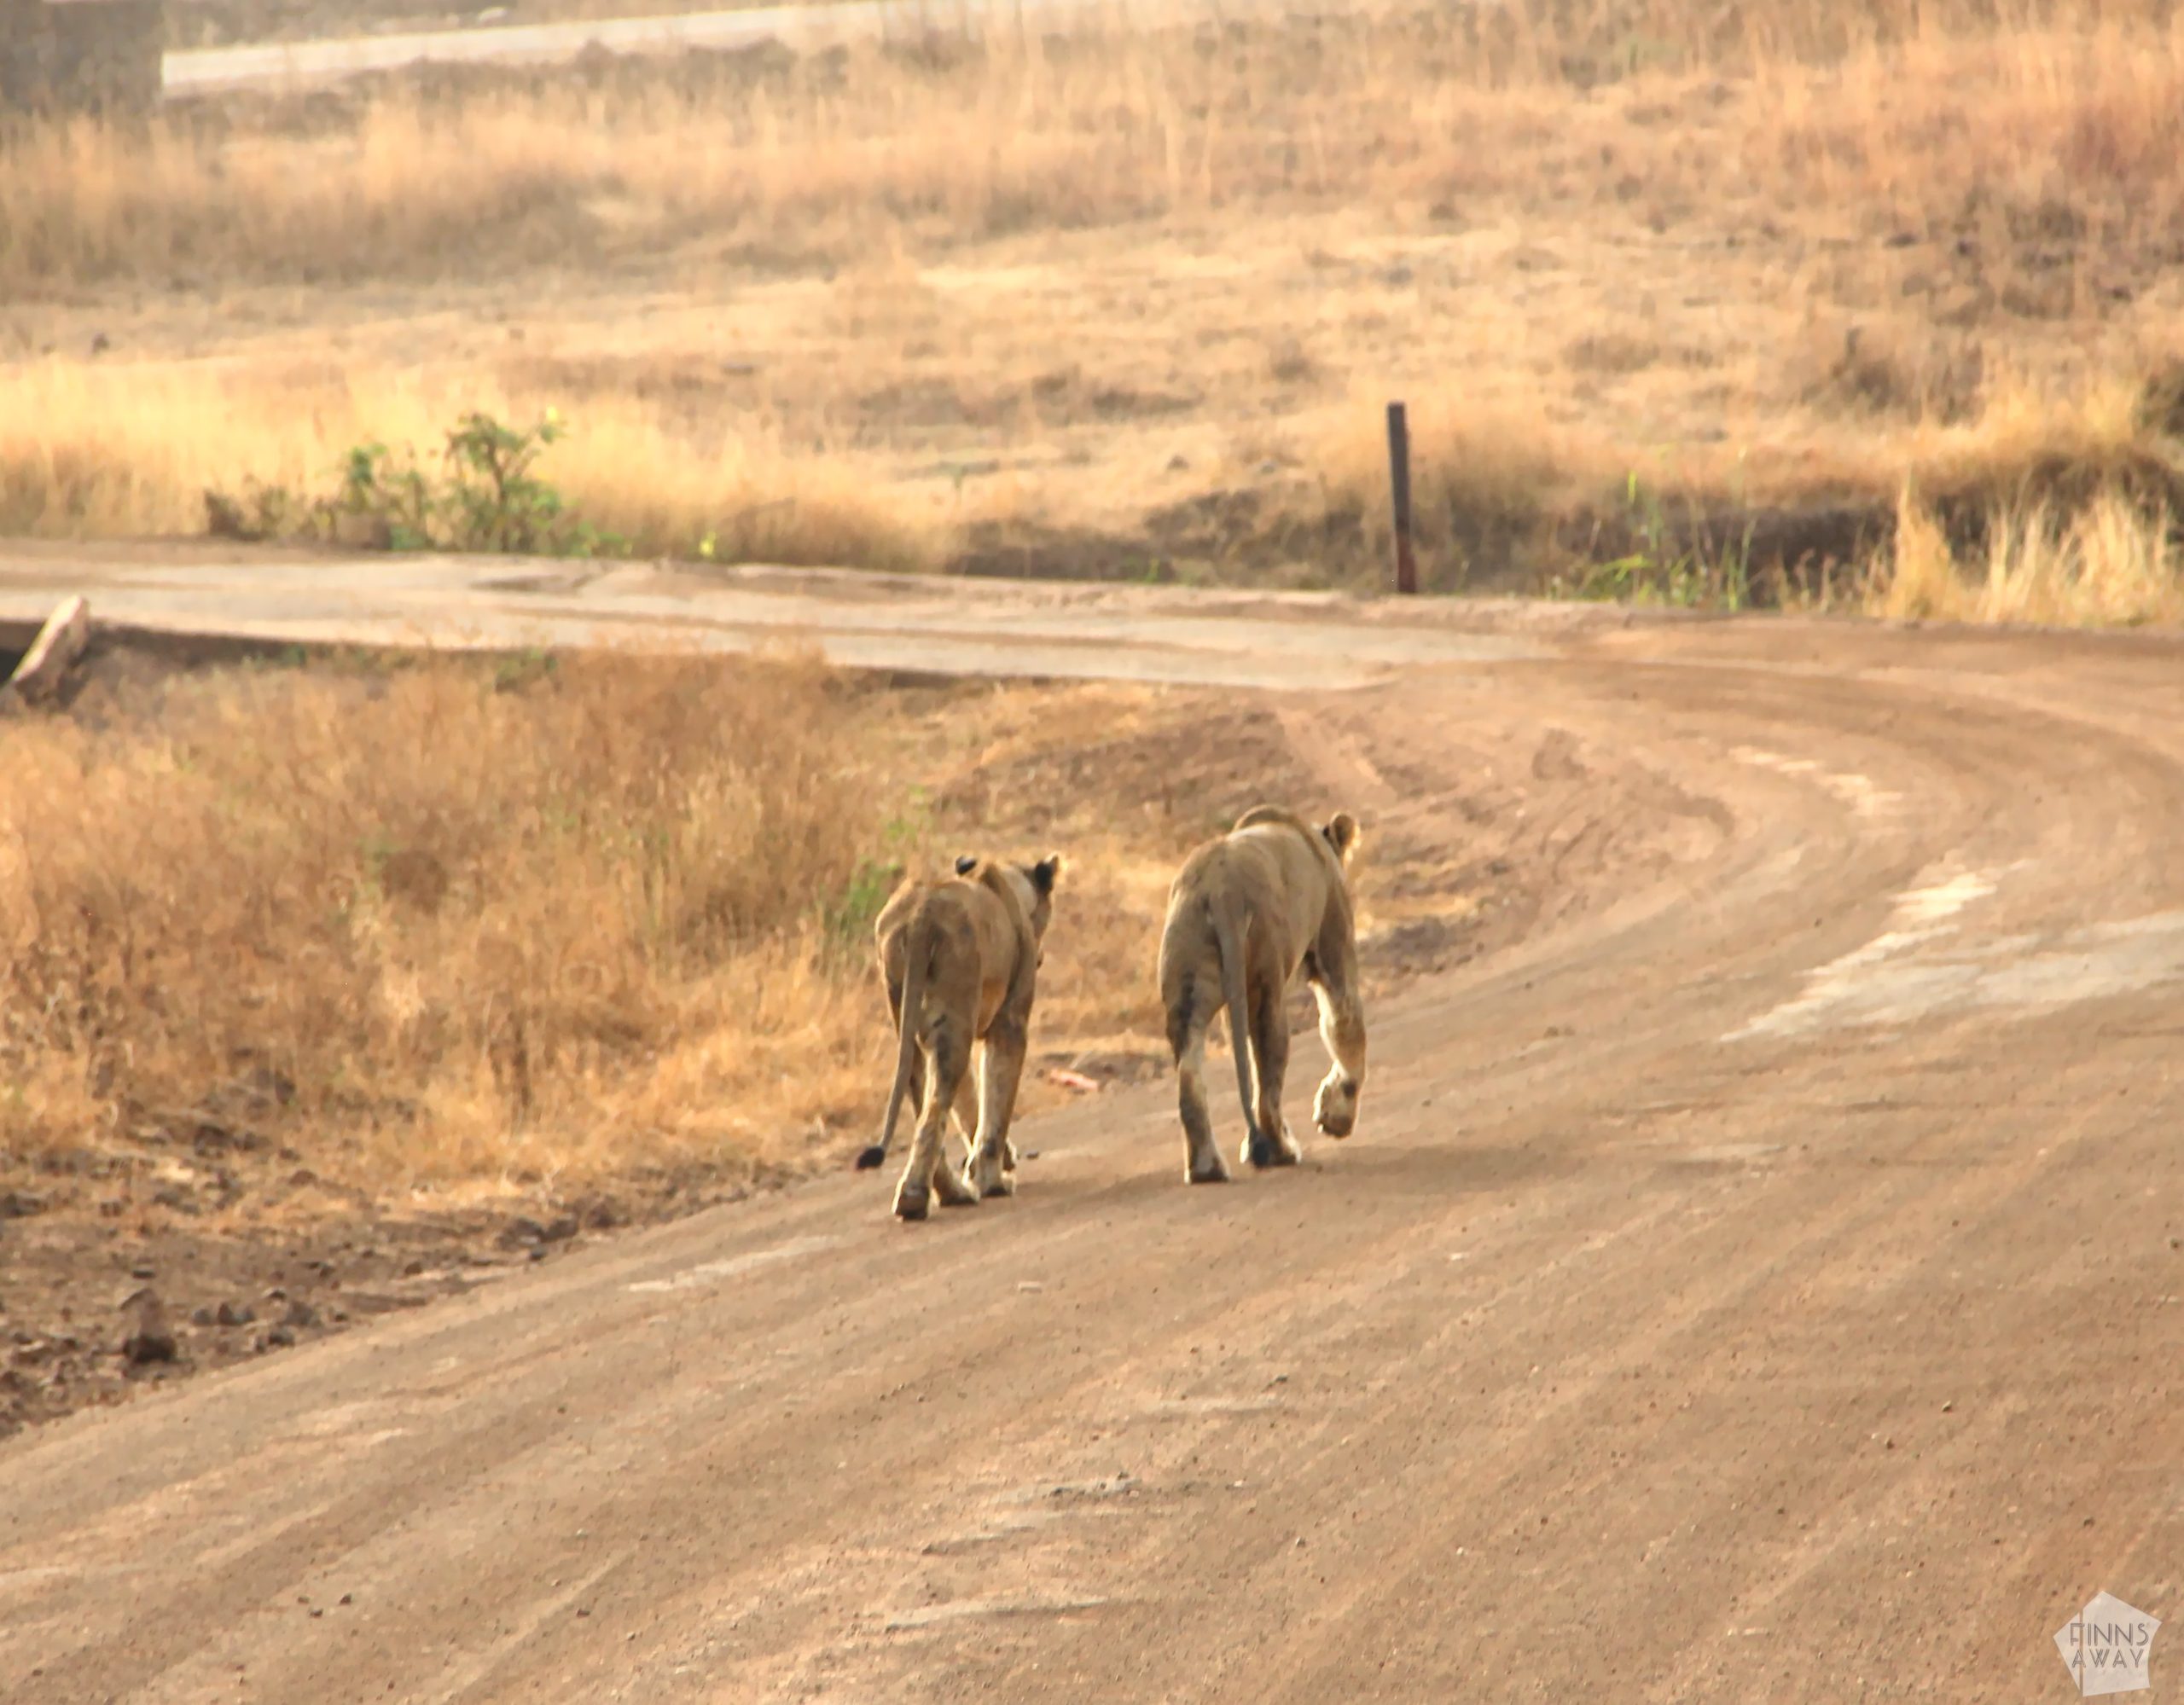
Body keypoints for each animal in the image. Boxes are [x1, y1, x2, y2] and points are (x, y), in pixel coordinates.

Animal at [856, 850, 1062, 1221]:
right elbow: (995, 1102)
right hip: (954, 1009)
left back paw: (949, 1192)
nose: (1040, 956)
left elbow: (970, 1103)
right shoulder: (1010, 1020)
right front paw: (993, 1180)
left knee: (924, 1099)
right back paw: (919, 1197)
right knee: (936, 1106)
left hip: (914, 1019)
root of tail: (921, 914)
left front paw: (983, 1167)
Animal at [1156, 805, 1367, 1184]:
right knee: (1268, 1069)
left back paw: (1206, 1168)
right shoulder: (1333, 941)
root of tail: (1220, 887)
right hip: (1264, 978)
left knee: (1190, 1073)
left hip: (1187, 980)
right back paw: (1280, 1150)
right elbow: (1345, 1026)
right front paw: (1336, 1119)